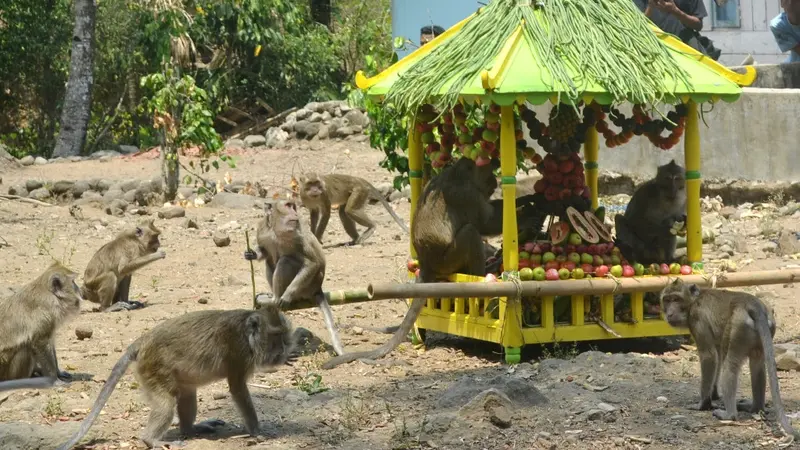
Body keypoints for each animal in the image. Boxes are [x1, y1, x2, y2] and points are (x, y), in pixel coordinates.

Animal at [51, 298, 298, 450]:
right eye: (275, 337)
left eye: (284, 336)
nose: (282, 350)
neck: (248, 334)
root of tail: (143, 340)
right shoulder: (238, 352)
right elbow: (237, 389)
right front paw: (257, 431)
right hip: (153, 369)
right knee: (165, 404)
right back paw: (151, 440)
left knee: (187, 395)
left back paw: (190, 428)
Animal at [242, 199, 346, 356]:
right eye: (288, 205)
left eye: (293, 205)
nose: (295, 212)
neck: (276, 230)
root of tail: (318, 287)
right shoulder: (262, 230)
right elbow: (265, 252)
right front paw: (252, 254)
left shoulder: (297, 236)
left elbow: (312, 263)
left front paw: (287, 295)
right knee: (270, 262)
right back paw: (272, 295)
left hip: (307, 287)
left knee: (285, 261)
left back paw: (277, 298)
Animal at [320, 156, 544, 370]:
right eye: (488, 174)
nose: (493, 183)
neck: (459, 174)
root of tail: (426, 263)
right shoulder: (466, 195)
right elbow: (484, 222)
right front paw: (527, 214)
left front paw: (530, 201)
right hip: (448, 260)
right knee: (470, 232)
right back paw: (483, 274)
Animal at [660, 280, 796, 442]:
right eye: (667, 300)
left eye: (676, 299)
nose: (669, 313)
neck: (694, 301)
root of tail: (752, 303)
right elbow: (717, 356)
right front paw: (713, 395)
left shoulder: (697, 318)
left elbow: (709, 356)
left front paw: (703, 404)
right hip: (767, 327)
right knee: (757, 365)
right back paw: (755, 408)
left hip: (739, 327)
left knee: (730, 365)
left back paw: (729, 415)